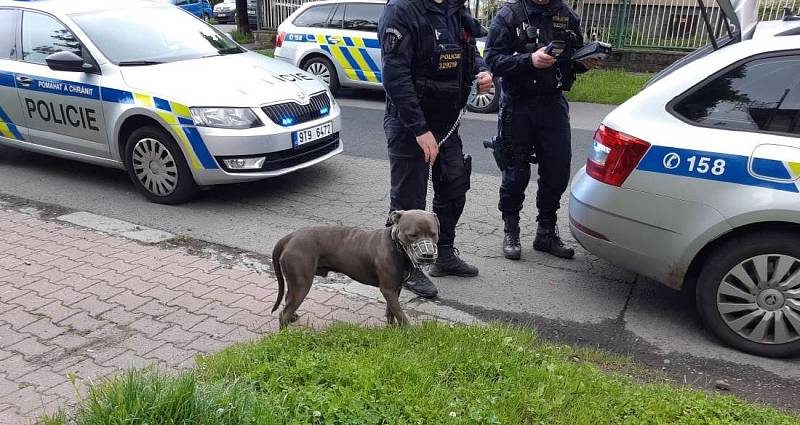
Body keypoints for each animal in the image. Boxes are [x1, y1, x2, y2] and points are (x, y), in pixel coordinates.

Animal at [272, 210, 440, 328]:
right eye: (413, 235)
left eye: (433, 234)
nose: (428, 255)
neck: (396, 246)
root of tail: (289, 237)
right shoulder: (388, 289)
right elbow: (400, 313)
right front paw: (408, 331)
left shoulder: (395, 288)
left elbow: (391, 311)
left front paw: (392, 328)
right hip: (302, 283)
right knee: (283, 314)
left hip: (295, 283)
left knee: (287, 300)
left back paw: (293, 317)